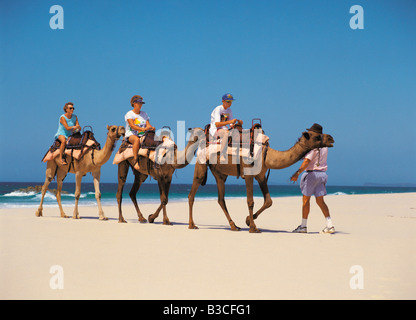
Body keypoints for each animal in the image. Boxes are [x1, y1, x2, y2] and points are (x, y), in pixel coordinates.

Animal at [188, 126, 334, 234]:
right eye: (317, 136)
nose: (331, 138)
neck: (267, 155)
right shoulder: (249, 174)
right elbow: (250, 201)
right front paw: (253, 228)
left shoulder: (261, 176)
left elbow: (269, 201)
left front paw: (248, 220)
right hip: (201, 162)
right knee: (193, 192)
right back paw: (192, 225)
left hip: (219, 173)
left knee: (221, 199)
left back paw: (234, 226)